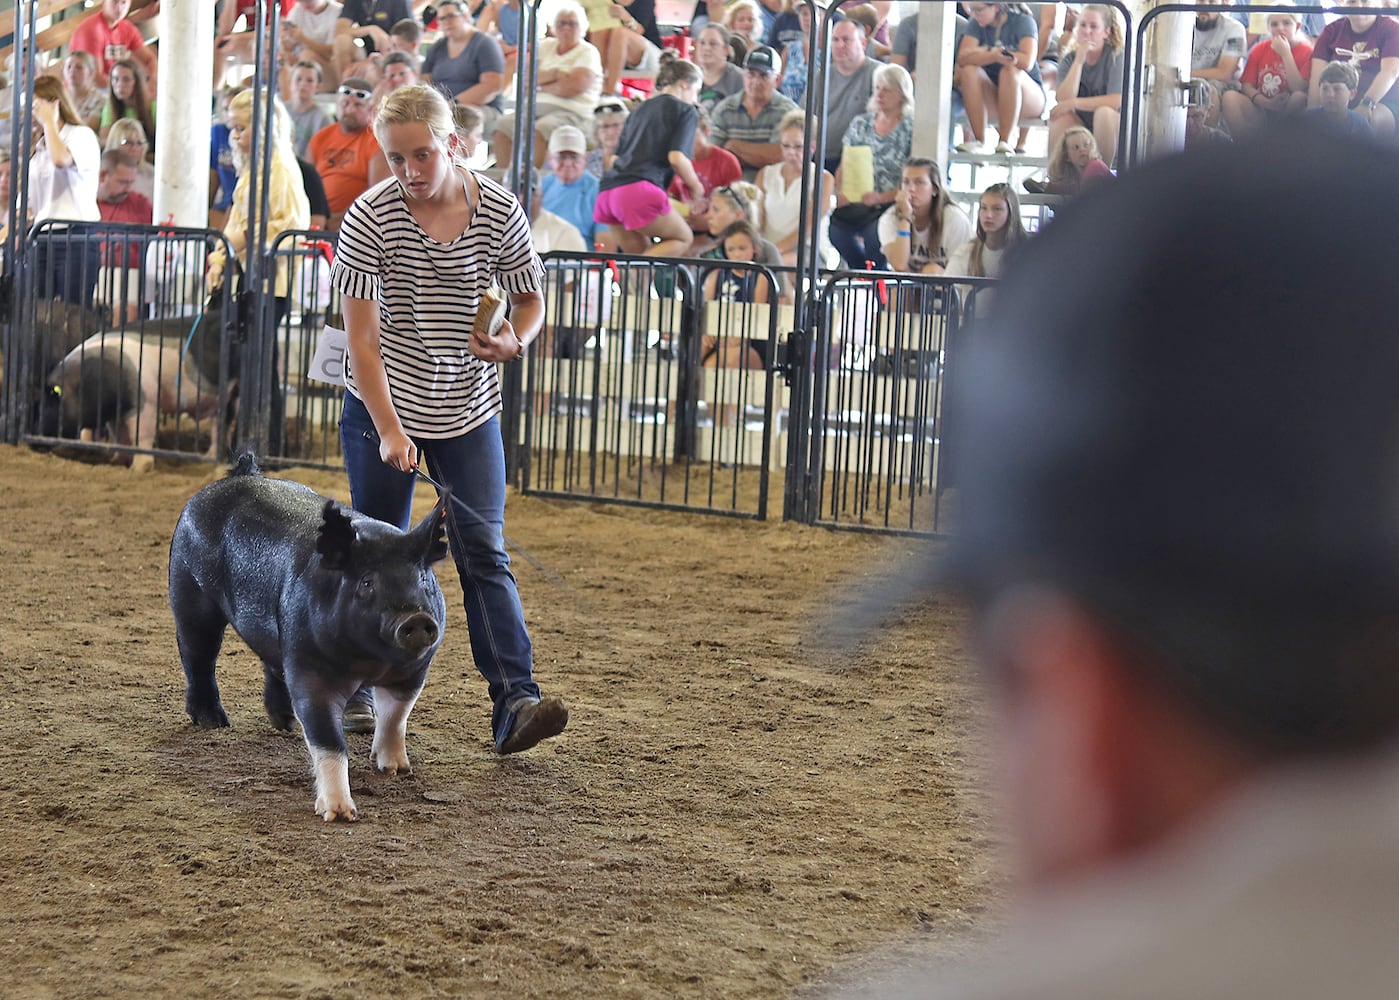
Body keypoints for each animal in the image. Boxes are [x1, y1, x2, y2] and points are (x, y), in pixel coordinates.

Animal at [169, 453, 450, 822]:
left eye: (423, 578)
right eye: (367, 582)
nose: (415, 618)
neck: (373, 661)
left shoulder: (415, 670)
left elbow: (395, 716)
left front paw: (396, 770)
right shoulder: (311, 667)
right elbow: (328, 737)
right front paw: (340, 813)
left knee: (270, 664)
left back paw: (286, 723)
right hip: (189, 589)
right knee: (197, 655)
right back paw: (213, 722)